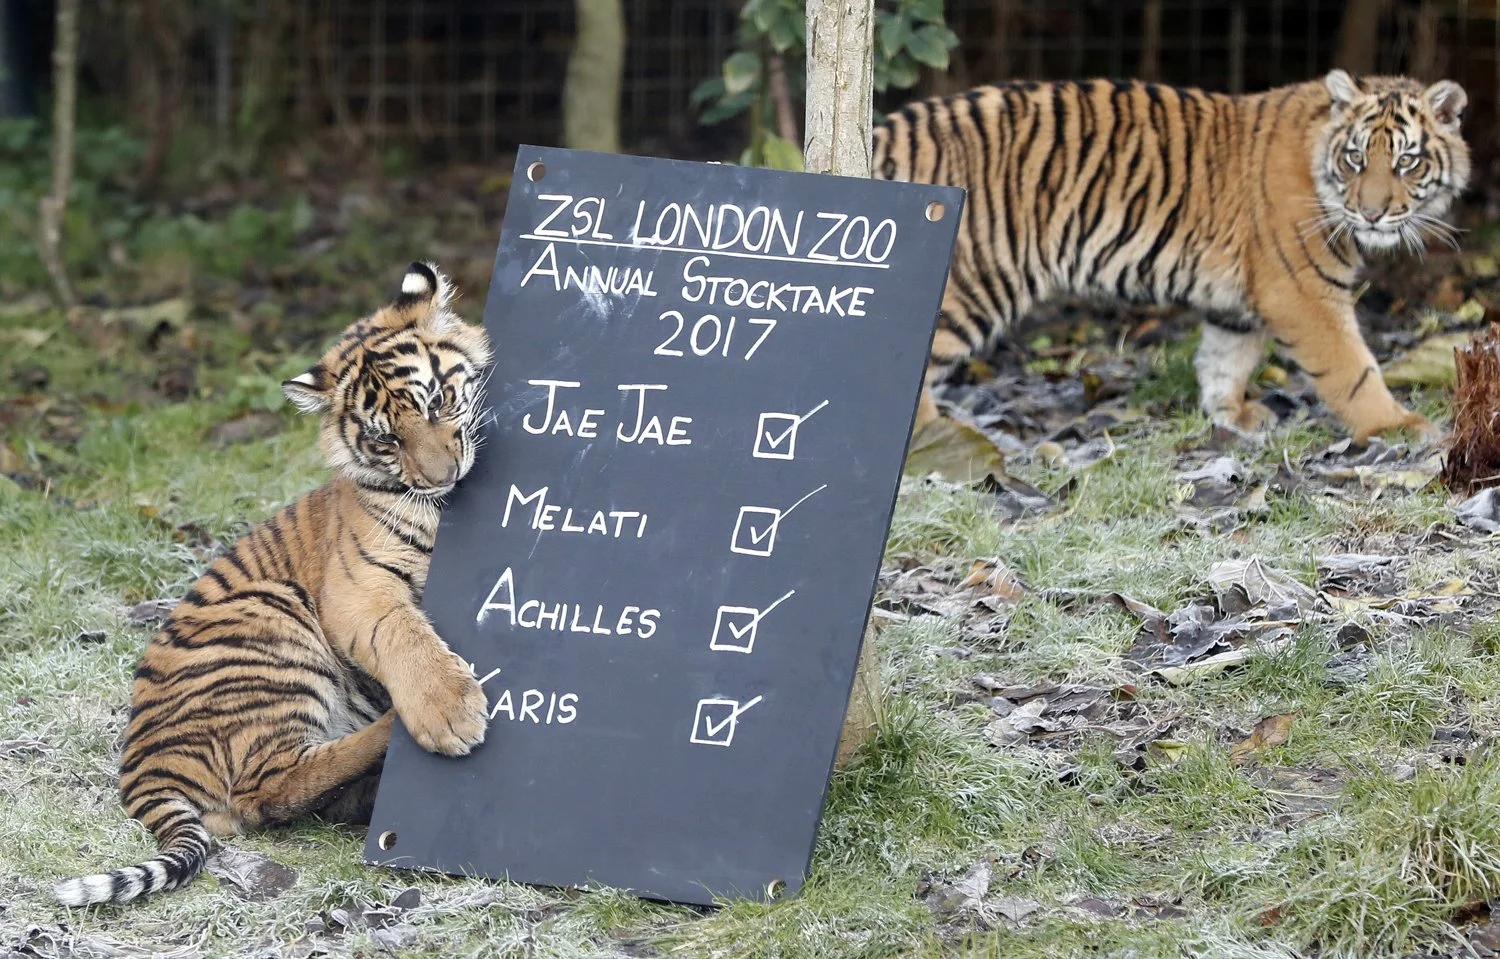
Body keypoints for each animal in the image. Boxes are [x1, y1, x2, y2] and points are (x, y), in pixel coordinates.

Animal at [53, 262, 493, 907]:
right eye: (385, 439)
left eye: (437, 402)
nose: (443, 478)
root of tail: (140, 764)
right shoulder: (357, 589)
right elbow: (404, 635)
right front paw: (449, 712)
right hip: (273, 619)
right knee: (266, 791)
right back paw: (391, 734)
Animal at [874, 69, 1470, 444]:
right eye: (1355, 158)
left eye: (1407, 161)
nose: (1370, 214)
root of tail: (887, 131)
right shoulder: (1301, 292)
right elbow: (1353, 368)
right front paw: (1396, 426)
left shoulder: (1239, 303)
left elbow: (1225, 358)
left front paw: (1233, 415)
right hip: (973, 283)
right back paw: (935, 438)